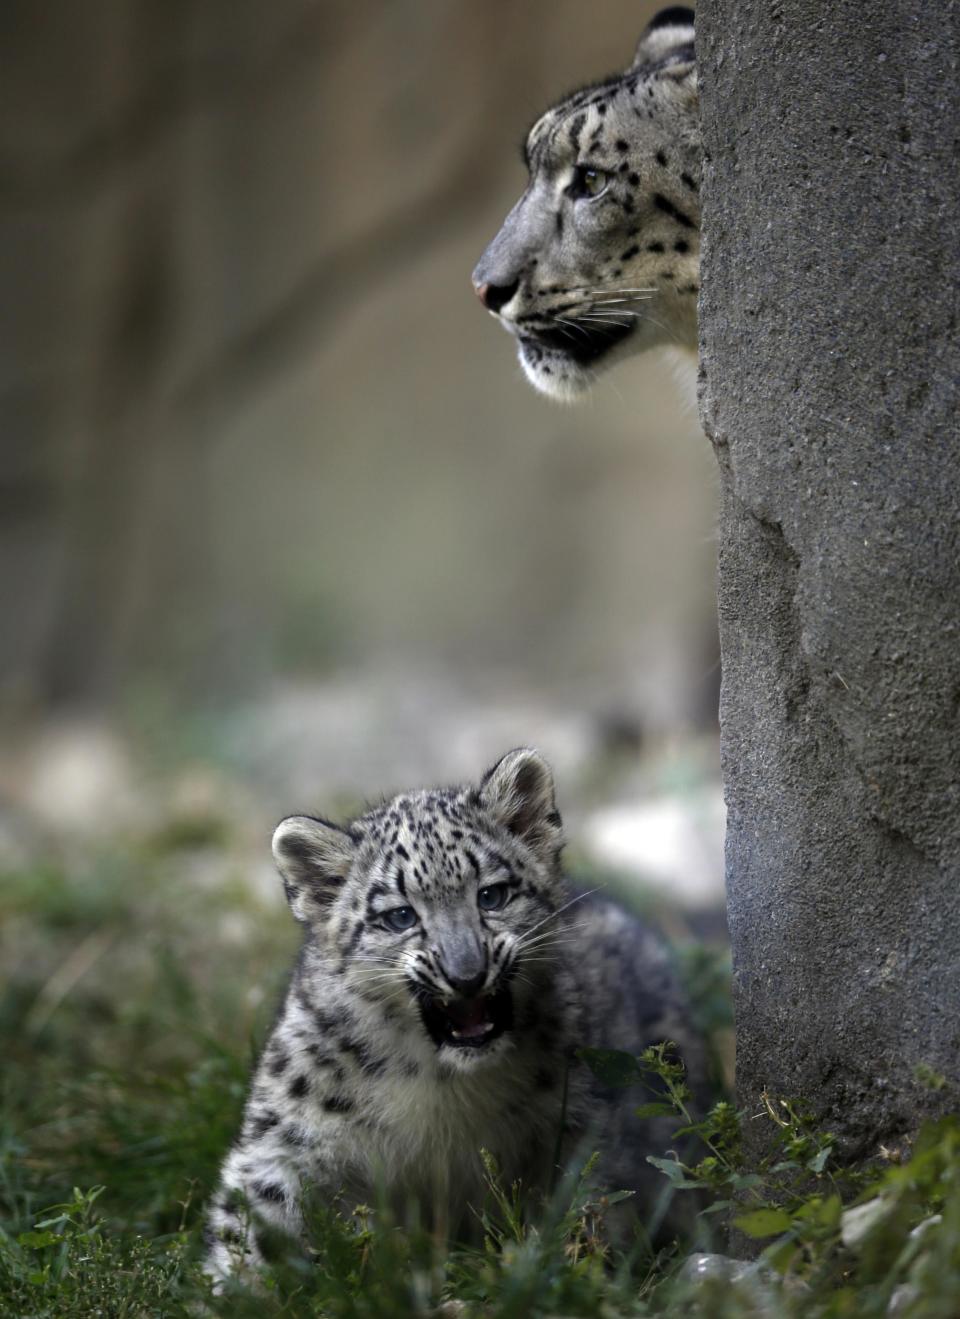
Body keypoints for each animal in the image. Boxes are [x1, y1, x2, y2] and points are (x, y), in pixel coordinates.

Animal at [205, 749, 706, 1282]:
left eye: (491, 895)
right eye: (400, 916)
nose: (466, 974)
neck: (441, 1087)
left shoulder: (578, 1124)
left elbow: (587, 1201)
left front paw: (561, 1265)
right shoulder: (287, 1138)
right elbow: (252, 1213)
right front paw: (232, 1287)